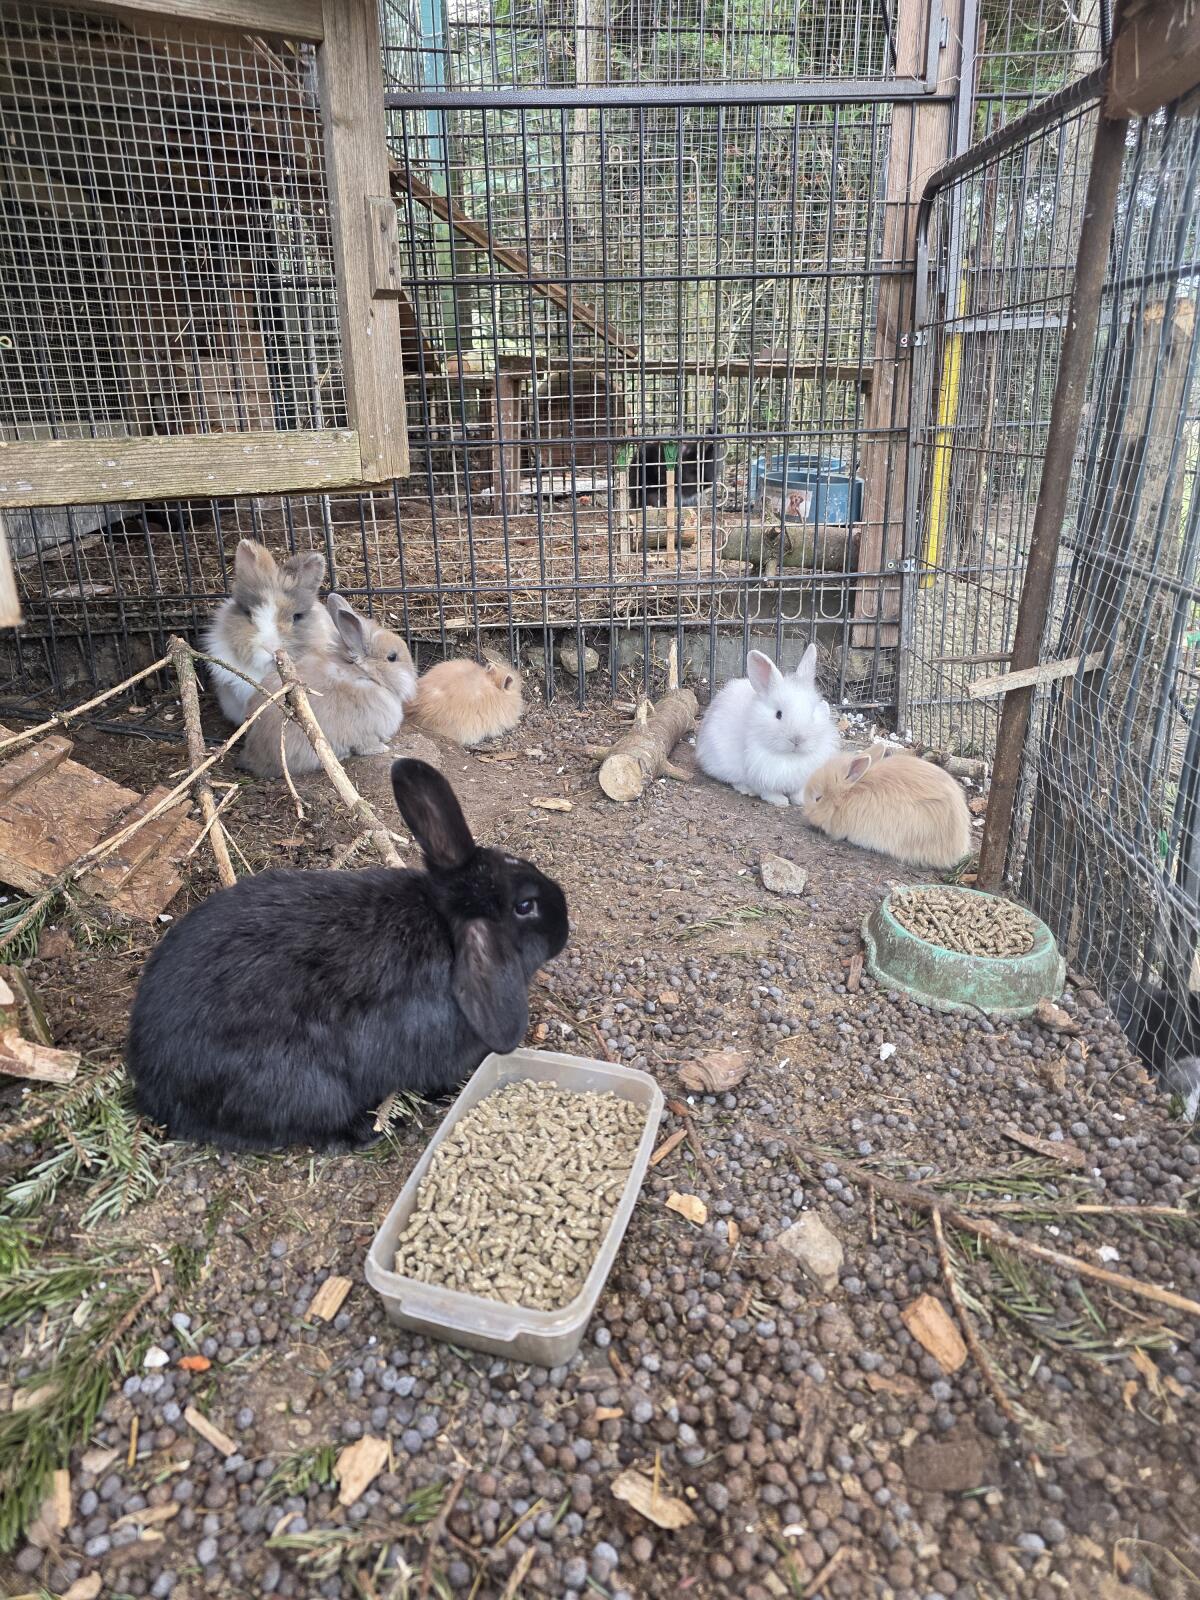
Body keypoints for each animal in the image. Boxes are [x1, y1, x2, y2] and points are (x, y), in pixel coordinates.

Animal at [125, 758, 570, 1150]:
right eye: (525, 906)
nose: (564, 926)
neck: (446, 926)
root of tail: (153, 1087)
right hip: (310, 1087)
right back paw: (370, 1131)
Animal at [240, 593, 417, 778]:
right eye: (392, 657)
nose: (413, 671)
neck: (366, 675)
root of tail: (252, 758)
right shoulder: (365, 732)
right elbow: (366, 746)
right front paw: (382, 748)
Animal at [695, 645, 840, 805]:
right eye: (778, 714)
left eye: (812, 712)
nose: (797, 739)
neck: (790, 757)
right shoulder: (760, 773)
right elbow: (767, 791)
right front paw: (780, 801)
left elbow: (797, 792)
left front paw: (801, 801)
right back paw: (747, 790)